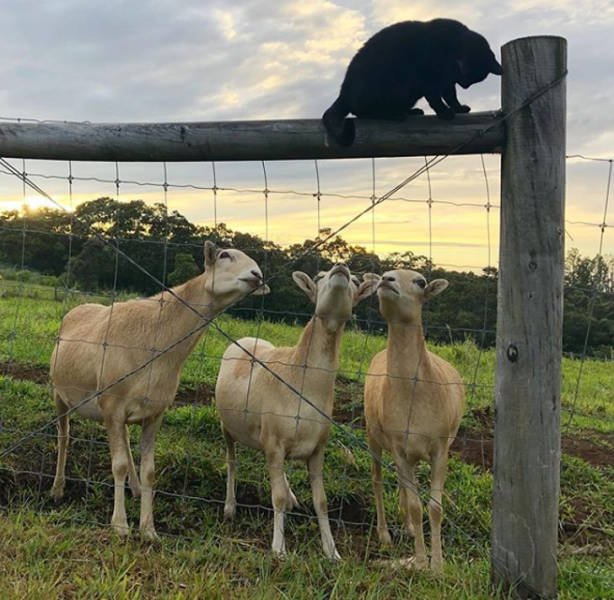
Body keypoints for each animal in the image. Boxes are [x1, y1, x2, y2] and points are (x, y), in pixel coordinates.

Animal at [48, 241, 270, 540]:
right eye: (225, 255)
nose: (257, 275)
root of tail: (78, 307)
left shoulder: (154, 412)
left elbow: (150, 471)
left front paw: (148, 528)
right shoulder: (111, 406)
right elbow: (117, 465)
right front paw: (120, 526)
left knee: (123, 442)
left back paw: (134, 488)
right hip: (60, 394)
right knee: (64, 436)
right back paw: (58, 488)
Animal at [217, 264, 380, 560]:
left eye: (354, 280)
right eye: (319, 277)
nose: (341, 268)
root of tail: (247, 337)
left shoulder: (316, 448)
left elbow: (322, 501)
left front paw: (331, 551)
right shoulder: (274, 442)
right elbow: (277, 497)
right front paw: (278, 548)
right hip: (227, 426)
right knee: (232, 461)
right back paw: (230, 507)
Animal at [324, 19, 502, 146]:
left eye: (473, 81)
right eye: (469, 78)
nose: (465, 85)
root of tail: (344, 92)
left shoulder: (446, 82)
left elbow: (451, 96)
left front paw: (458, 108)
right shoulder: (428, 80)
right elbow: (436, 99)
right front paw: (445, 113)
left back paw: (411, 111)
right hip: (392, 87)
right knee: (363, 113)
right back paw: (395, 115)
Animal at [366, 270, 462, 572]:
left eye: (420, 282)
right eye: (387, 272)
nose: (386, 279)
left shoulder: (440, 448)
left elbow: (434, 507)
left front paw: (438, 565)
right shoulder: (398, 447)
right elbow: (416, 506)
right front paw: (421, 561)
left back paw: (408, 528)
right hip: (373, 436)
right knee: (377, 479)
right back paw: (385, 534)